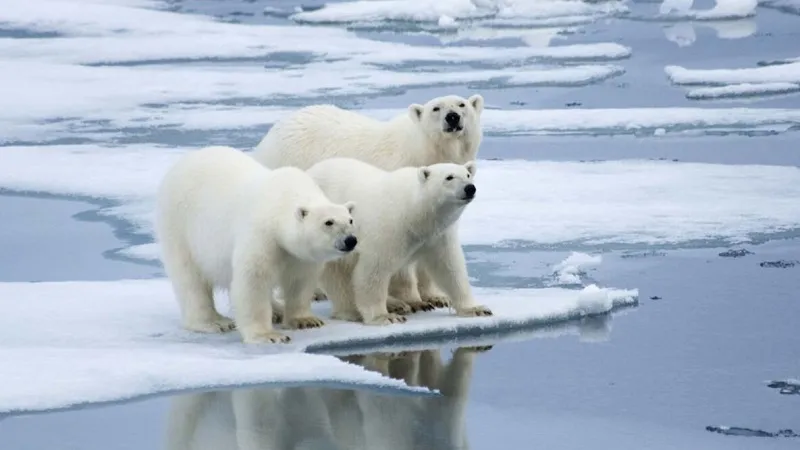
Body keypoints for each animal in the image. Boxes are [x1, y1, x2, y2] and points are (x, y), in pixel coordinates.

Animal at [154, 145, 358, 344]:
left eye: (350, 220)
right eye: (328, 222)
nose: (350, 240)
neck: (281, 202)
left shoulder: (300, 255)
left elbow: (300, 280)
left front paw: (306, 320)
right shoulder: (262, 235)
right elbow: (254, 280)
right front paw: (268, 335)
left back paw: (277, 310)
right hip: (180, 226)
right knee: (190, 278)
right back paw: (214, 322)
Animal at [252, 93, 485, 310]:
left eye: (462, 104)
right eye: (436, 108)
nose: (452, 117)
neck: (422, 150)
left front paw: (437, 297)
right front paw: (414, 300)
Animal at [305, 157, 492, 326]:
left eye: (468, 175)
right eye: (449, 177)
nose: (470, 188)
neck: (414, 212)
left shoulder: (438, 235)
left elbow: (449, 267)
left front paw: (475, 309)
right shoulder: (389, 229)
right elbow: (373, 271)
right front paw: (384, 317)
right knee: (336, 274)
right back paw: (354, 311)